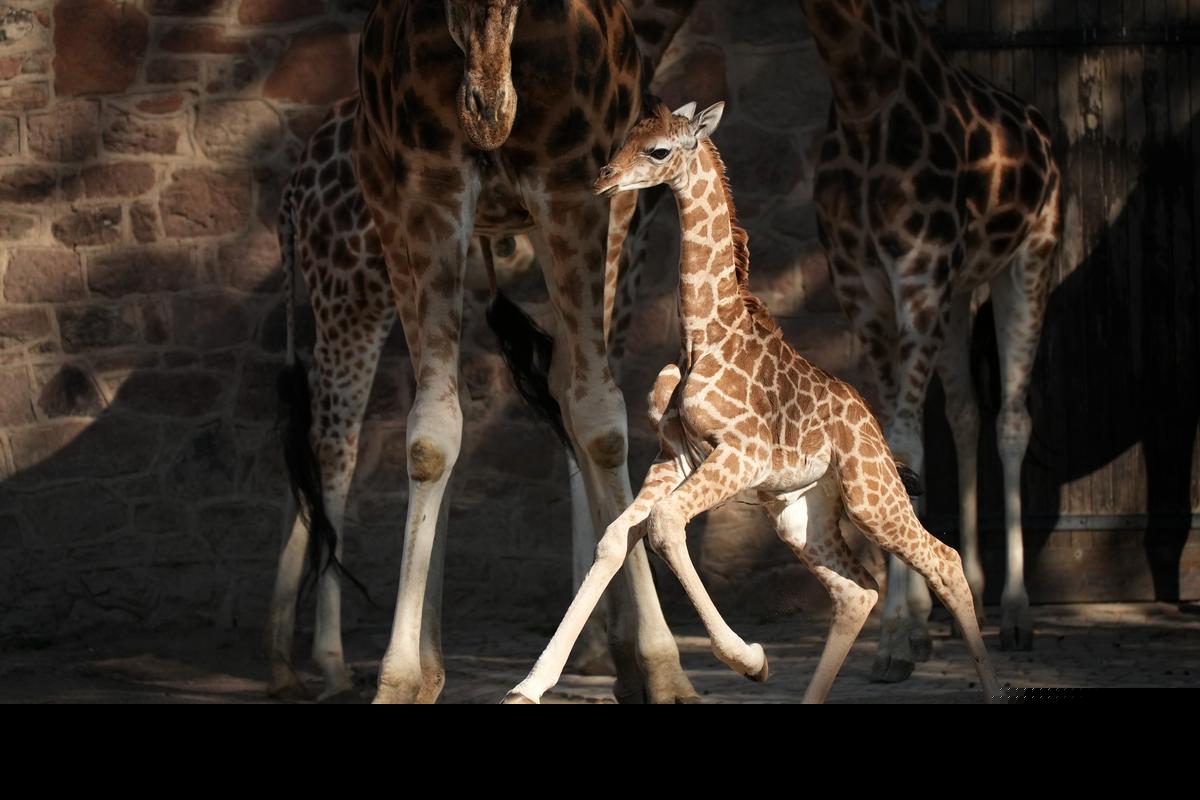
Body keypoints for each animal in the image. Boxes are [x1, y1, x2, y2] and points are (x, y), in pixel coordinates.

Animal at [265, 0, 702, 702]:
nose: (486, 108)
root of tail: (292, 196)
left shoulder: (578, 197)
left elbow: (595, 421)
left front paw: (649, 664)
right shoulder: (439, 188)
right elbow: (443, 435)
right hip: (375, 254)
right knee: (358, 438)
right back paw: (349, 661)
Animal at [504, 100, 1001, 704]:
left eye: (659, 150)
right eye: (626, 137)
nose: (604, 178)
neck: (703, 334)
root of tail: (873, 428)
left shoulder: (742, 453)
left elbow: (663, 526)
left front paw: (752, 661)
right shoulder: (676, 457)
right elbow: (616, 538)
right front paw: (527, 686)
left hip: (870, 495)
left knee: (943, 561)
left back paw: (990, 686)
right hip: (798, 511)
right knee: (856, 590)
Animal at [802, 0, 1062, 678]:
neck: (862, 90)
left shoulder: (919, 275)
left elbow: (902, 441)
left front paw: (894, 636)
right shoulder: (861, 288)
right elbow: (896, 439)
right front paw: (910, 623)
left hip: (1029, 258)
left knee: (1012, 420)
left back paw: (1016, 614)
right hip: (959, 292)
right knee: (967, 412)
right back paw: (960, 600)